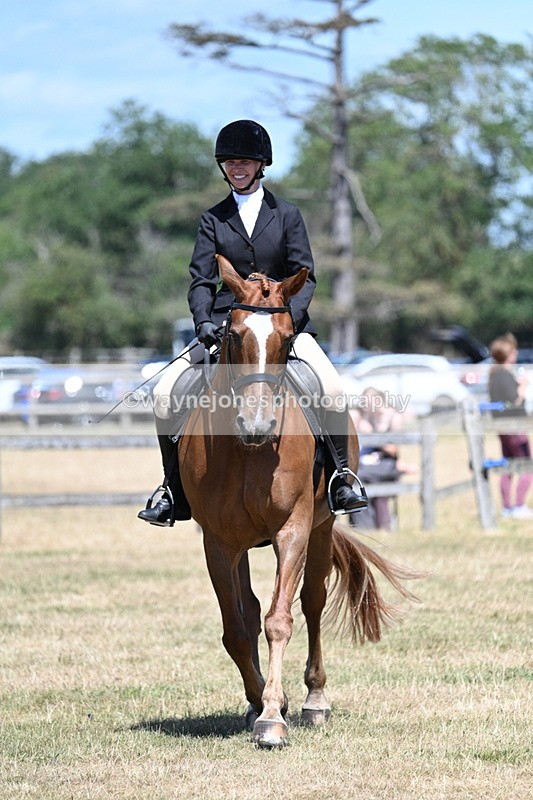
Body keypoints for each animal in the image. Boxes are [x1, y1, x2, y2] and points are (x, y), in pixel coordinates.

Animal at [178, 254, 418, 748]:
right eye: (231, 334)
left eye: (287, 339)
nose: (257, 424)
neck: (248, 452)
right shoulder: (218, 543)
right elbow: (237, 629)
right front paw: (262, 703)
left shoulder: (293, 529)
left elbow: (280, 619)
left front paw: (274, 716)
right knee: (250, 611)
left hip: (322, 529)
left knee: (312, 601)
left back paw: (315, 700)